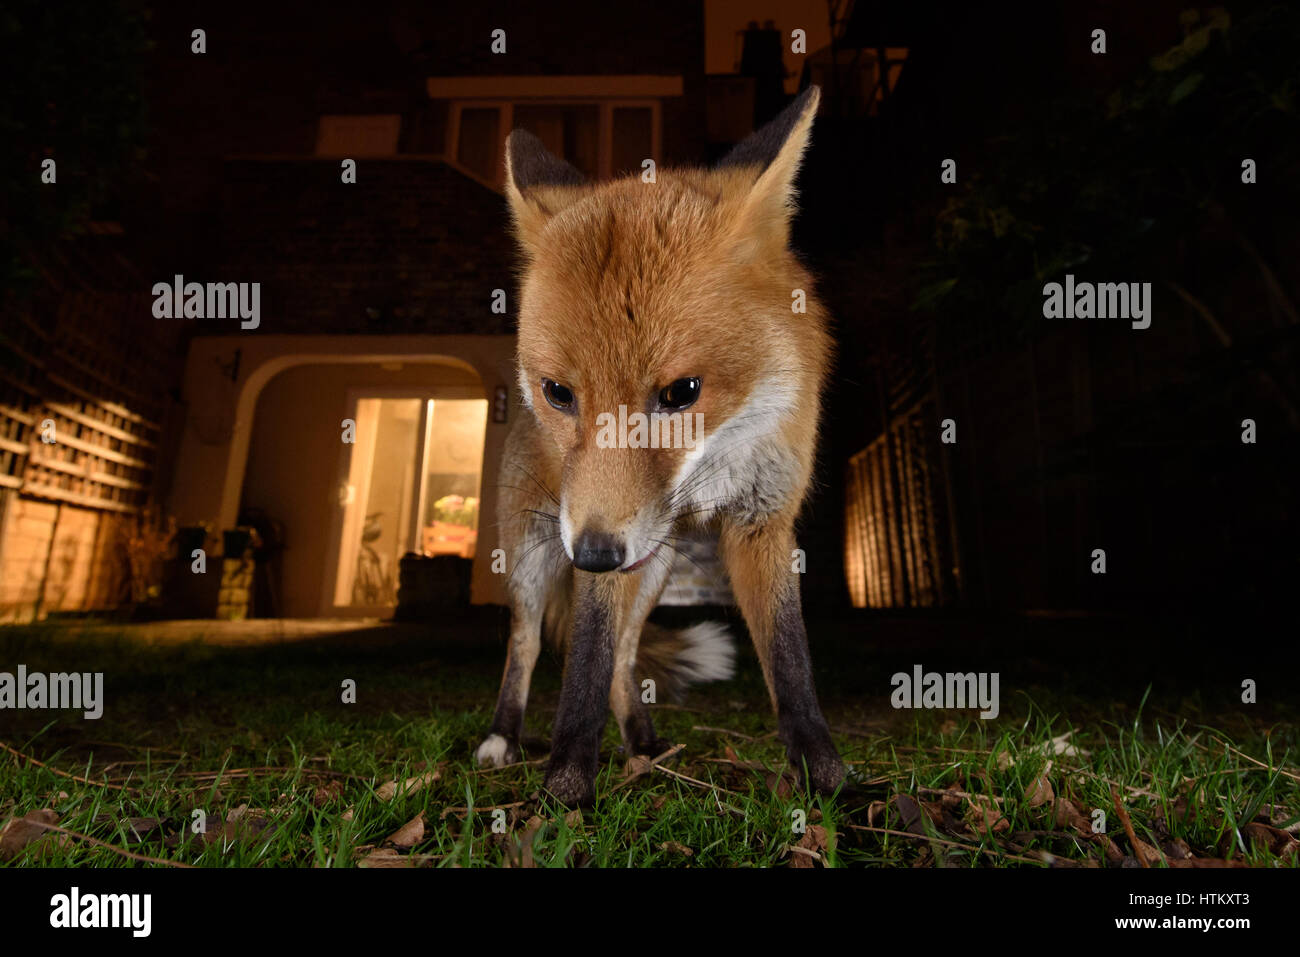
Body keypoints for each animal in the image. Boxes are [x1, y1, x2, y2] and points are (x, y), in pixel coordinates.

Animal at [478, 85, 842, 806]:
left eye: (682, 392)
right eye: (558, 392)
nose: (592, 555)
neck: (718, 455)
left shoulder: (763, 520)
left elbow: (790, 663)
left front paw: (827, 778)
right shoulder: (594, 529)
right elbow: (584, 665)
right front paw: (565, 788)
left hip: (653, 565)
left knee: (626, 656)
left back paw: (643, 744)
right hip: (537, 553)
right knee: (526, 644)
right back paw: (505, 736)